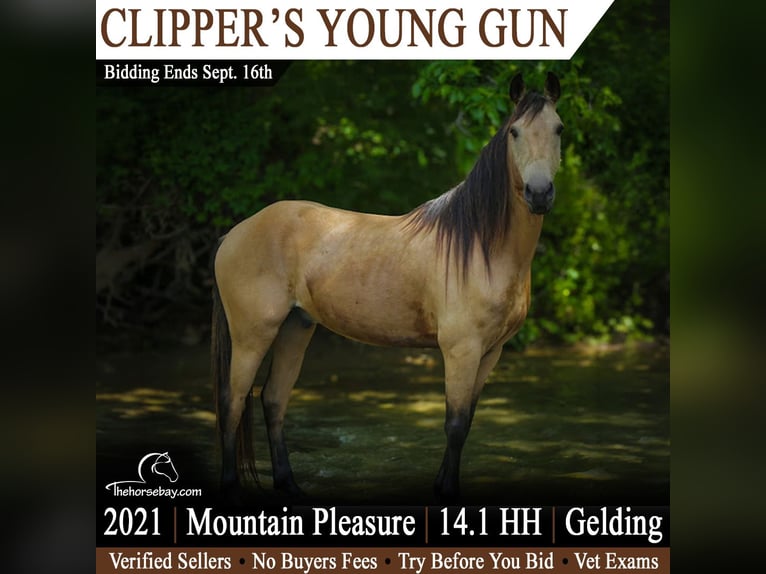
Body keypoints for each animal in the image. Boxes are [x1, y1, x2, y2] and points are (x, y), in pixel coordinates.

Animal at [211, 72, 563, 502]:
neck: (481, 246)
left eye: (559, 129)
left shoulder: (490, 352)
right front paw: (446, 491)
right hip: (252, 335)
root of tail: (233, 234)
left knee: (273, 401)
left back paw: (289, 485)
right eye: (514, 132)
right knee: (233, 402)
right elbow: (455, 425)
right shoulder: (461, 350)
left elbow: (466, 423)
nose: (539, 194)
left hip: (296, 328)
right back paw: (231, 487)